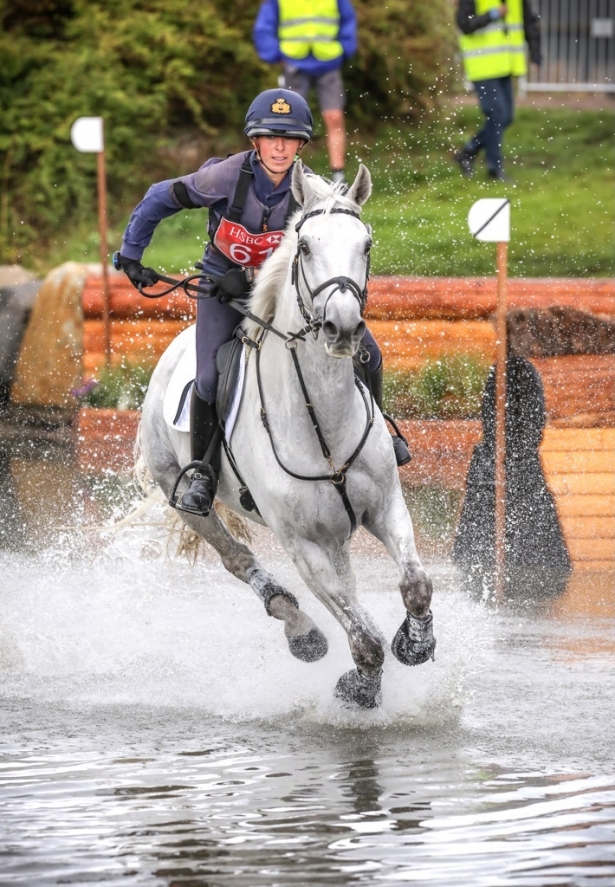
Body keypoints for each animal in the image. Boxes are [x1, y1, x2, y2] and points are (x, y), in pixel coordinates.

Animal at [140, 163, 438, 712]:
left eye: (367, 244)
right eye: (304, 247)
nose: (343, 327)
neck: (321, 421)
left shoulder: (385, 506)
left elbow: (415, 584)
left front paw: (414, 643)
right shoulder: (302, 543)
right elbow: (364, 639)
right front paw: (359, 687)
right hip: (181, 492)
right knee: (238, 558)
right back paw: (301, 631)